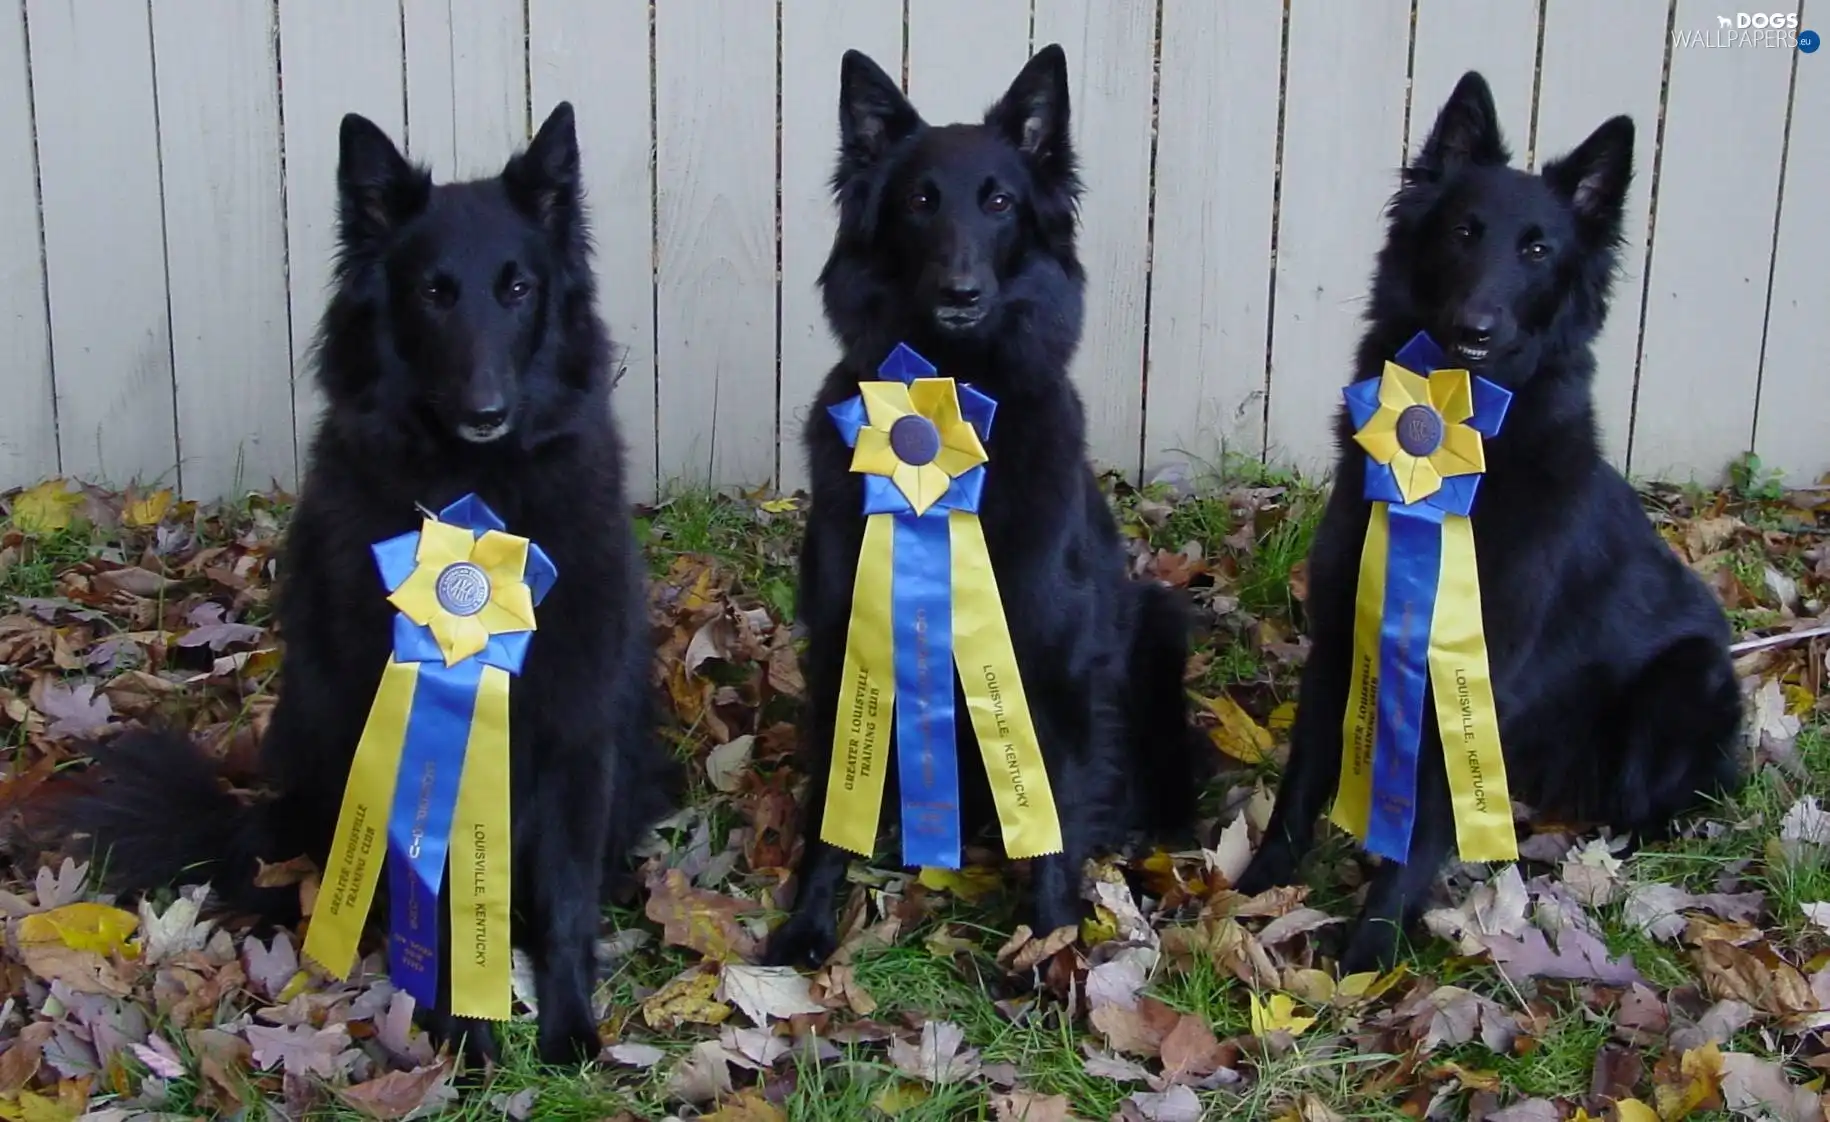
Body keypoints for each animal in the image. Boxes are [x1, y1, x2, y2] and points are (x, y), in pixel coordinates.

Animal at [43, 102, 680, 1061]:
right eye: (433, 293)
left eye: (518, 289)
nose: (488, 410)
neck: (477, 491)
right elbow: (442, 903)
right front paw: (465, 1027)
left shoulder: (578, 723)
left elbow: (566, 897)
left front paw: (568, 1031)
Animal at [761, 48, 1215, 966]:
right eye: (919, 201)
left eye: (999, 201)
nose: (962, 291)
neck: (951, 397)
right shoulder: (845, 643)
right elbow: (831, 810)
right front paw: (807, 922)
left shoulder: (1052, 658)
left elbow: (1052, 809)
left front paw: (1050, 941)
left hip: (1158, 624)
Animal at [1237, 70, 1734, 966]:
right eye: (1465, 231)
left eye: (1538, 250)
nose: (1475, 328)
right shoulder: (1343, 636)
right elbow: (1302, 781)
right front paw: (1257, 891)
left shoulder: (1473, 673)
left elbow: (1427, 818)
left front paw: (1369, 953)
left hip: (1685, 685)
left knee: (1655, 809)